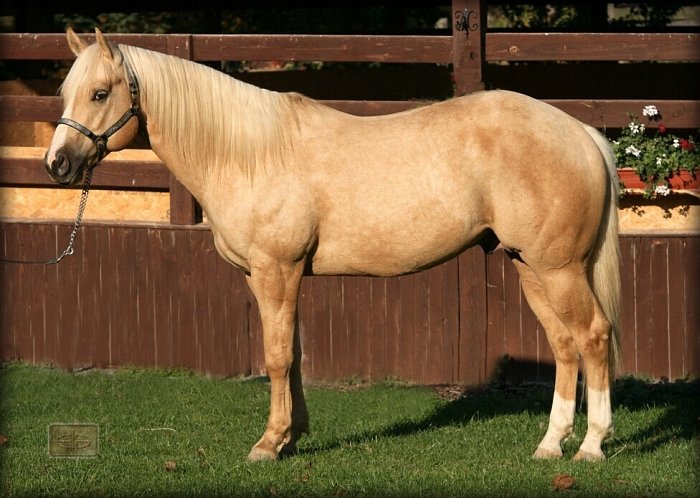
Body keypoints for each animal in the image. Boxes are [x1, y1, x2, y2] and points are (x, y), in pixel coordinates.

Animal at [45, 28, 621, 463]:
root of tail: (581, 132)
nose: (57, 165)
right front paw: (292, 436)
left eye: (101, 94)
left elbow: (276, 356)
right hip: (531, 267)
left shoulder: (276, 269)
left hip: (560, 269)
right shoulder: (274, 275)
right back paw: (550, 444)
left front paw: (268, 444)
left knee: (592, 336)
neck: (249, 153)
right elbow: (295, 353)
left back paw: (590, 446)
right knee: (564, 344)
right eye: (67, 93)